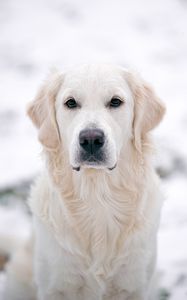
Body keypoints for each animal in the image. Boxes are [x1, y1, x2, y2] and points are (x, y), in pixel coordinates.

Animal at [2, 63, 165, 300]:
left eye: (115, 101)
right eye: (70, 103)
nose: (91, 139)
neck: (97, 196)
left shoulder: (134, 286)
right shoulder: (55, 287)